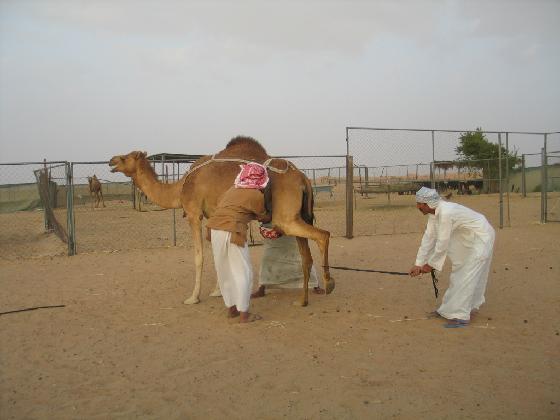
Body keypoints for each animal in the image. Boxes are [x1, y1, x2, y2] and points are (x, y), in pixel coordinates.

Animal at [109, 137, 332, 306]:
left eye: (125, 157)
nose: (111, 161)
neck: (180, 188)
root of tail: (303, 178)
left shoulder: (194, 213)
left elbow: (199, 256)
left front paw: (193, 297)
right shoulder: (213, 215)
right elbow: (216, 252)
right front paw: (218, 291)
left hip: (285, 217)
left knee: (323, 235)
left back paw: (329, 284)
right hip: (297, 214)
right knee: (306, 254)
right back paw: (302, 300)